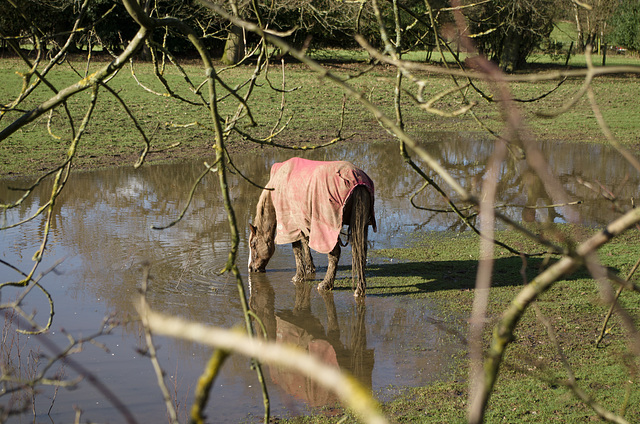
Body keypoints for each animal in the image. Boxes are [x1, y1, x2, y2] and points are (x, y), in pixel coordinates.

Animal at [246, 157, 376, 296]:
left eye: (253, 245)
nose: (251, 268)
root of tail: (358, 183)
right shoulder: (302, 222)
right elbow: (305, 243)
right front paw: (310, 268)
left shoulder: (290, 225)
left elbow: (296, 249)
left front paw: (298, 276)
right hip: (362, 226)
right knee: (361, 252)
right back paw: (360, 289)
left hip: (328, 228)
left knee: (335, 252)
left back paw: (325, 284)